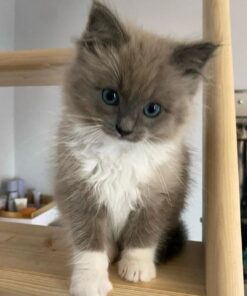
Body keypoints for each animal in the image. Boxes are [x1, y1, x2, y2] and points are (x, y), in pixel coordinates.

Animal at [55, 1, 217, 294]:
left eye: (152, 109)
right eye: (110, 96)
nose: (124, 129)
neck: (119, 156)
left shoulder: (156, 199)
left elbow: (143, 237)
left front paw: (136, 269)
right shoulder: (81, 194)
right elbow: (90, 246)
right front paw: (89, 281)